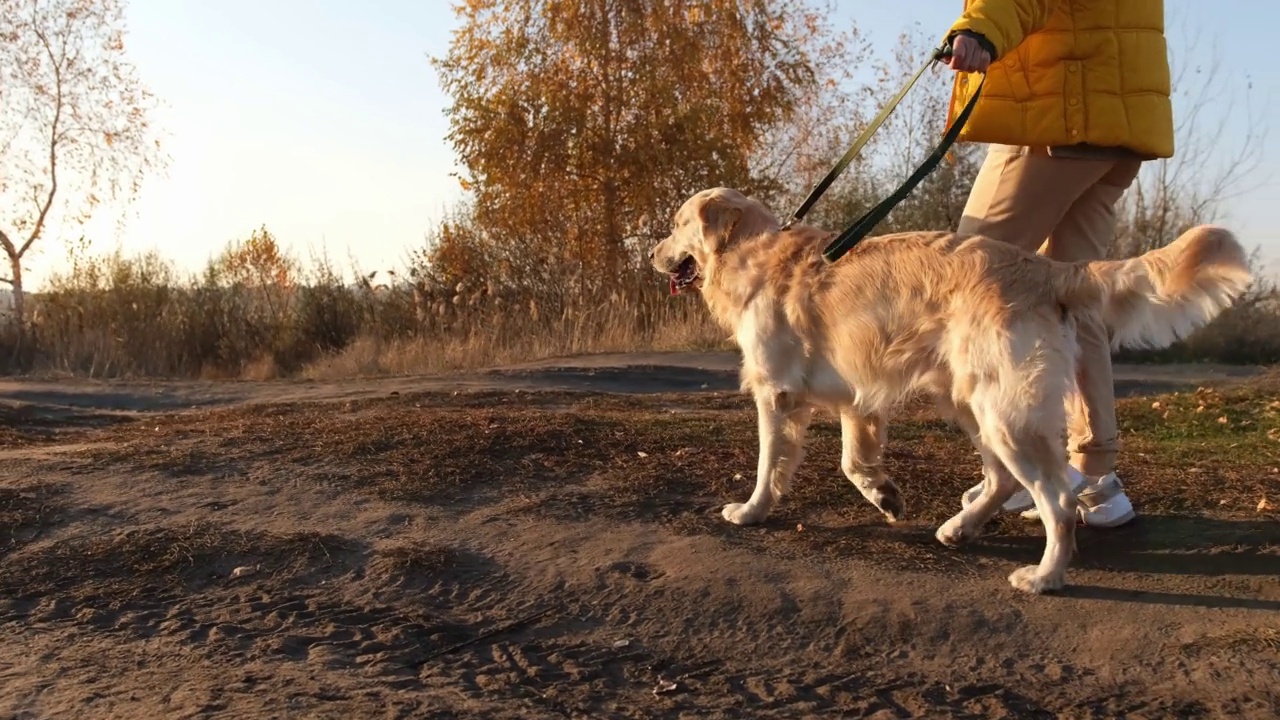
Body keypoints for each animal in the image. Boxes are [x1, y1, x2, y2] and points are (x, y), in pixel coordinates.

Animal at [655, 185, 1254, 594]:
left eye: (677, 224)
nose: (651, 255)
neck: (753, 254)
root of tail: (1048, 268)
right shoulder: (858, 395)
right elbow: (853, 460)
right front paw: (884, 494)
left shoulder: (776, 394)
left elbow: (768, 465)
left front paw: (752, 511)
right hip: (971, 402)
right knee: (1000, 479)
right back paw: (961, 528)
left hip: (1003, 414)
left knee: (1057, 500)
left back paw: (1044, 576)